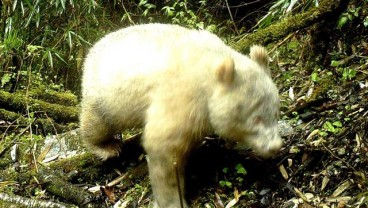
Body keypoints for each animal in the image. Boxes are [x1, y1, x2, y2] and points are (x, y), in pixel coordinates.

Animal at [80, 23, 282, 207]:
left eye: (275, 113)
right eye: (256, 118)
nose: (275, 146)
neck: (210, 68)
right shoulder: (183, 96)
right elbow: (164, 146)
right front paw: (173, 200)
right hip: (105, 96)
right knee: (97, 123)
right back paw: (107, 147)